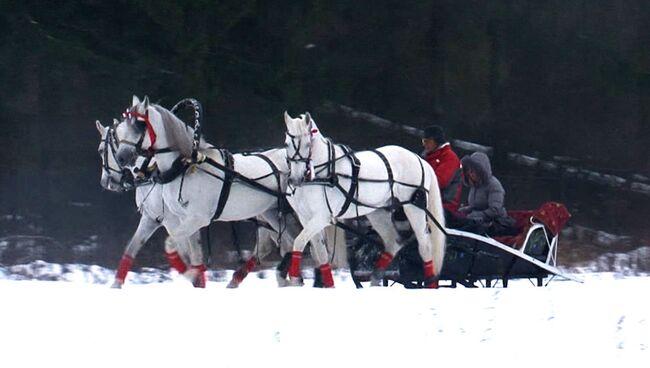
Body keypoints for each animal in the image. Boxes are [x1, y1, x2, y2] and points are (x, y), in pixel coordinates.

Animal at [109, 95, 332, 288]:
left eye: (140, 125)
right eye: (121, 130)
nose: (122, 157)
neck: (184, 166)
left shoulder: (196, 219)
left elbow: (172, 245)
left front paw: (191, 275)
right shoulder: (180, 219)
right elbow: (187, 253)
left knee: (307, 243)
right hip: (270, 213)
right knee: (292, 241)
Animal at [284, 111, 446, 288]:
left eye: (308, 144)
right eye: (287, 144)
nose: (295, 179)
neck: (324, 173)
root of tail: (419, 159)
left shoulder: (322, 217)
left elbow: (299, 242)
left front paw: (294, 279)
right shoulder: (305, 217)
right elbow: (320, 253)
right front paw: (327, 284)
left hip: (414, 207)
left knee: (425, 246)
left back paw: (431, 283)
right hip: (377, 212)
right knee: (393, 242)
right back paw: (375, 279)